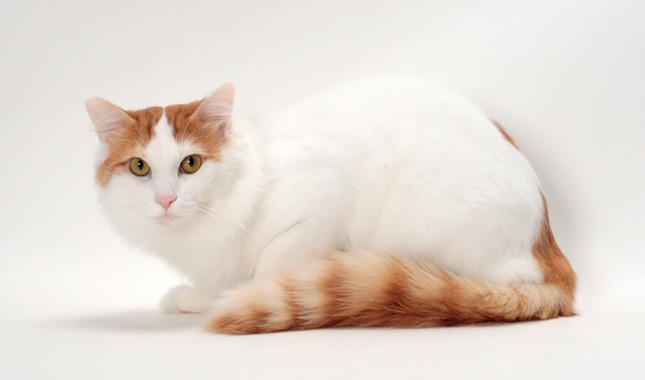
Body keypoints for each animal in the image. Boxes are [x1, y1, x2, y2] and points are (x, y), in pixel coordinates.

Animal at [84, 76, 572, 332]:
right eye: (140, 168)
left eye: (191, 164)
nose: (166, 199)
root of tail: (551, 251)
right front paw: (201, 296)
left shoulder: (325, 201)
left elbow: (267, 268)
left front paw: (246, 296)